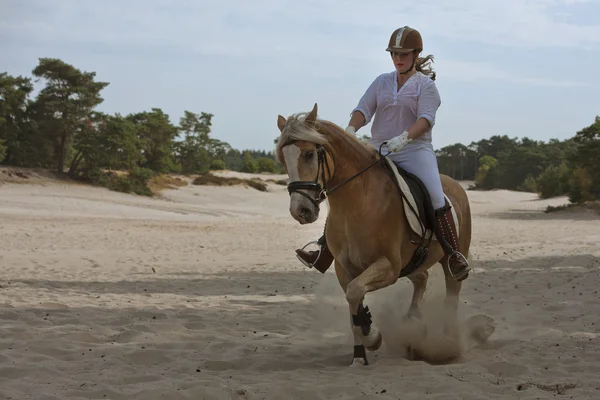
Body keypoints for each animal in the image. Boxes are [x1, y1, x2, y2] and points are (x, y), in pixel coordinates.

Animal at [276, 102, 474, 366]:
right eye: (283, 160)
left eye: (309, 154)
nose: (300, 211)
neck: (357, 203)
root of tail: (455, 185)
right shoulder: (345, 268)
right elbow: (353, 302)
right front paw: (360, 355)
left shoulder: (388, 266)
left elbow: (355, 293)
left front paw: (372, 337)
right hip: (412, 262)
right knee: (420, 278)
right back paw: (413, 320)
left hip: (449, 259)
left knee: (451, 293)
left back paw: (448, 345)